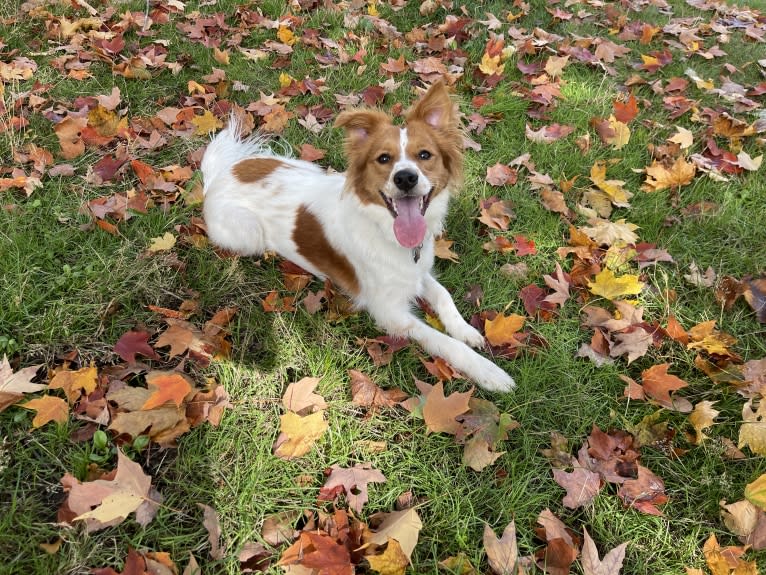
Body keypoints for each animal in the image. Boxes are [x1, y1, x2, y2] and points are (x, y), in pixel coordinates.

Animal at [202, 81, 516, 394]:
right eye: (383, 159)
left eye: (425, 155)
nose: (405, 178)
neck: (386, 229)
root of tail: (221, 175)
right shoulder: (390, 312)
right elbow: (442, 341)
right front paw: (488, 371)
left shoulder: (415, 271)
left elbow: (443, 295)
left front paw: (466, 329)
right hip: (249, 234)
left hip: (306, 167)